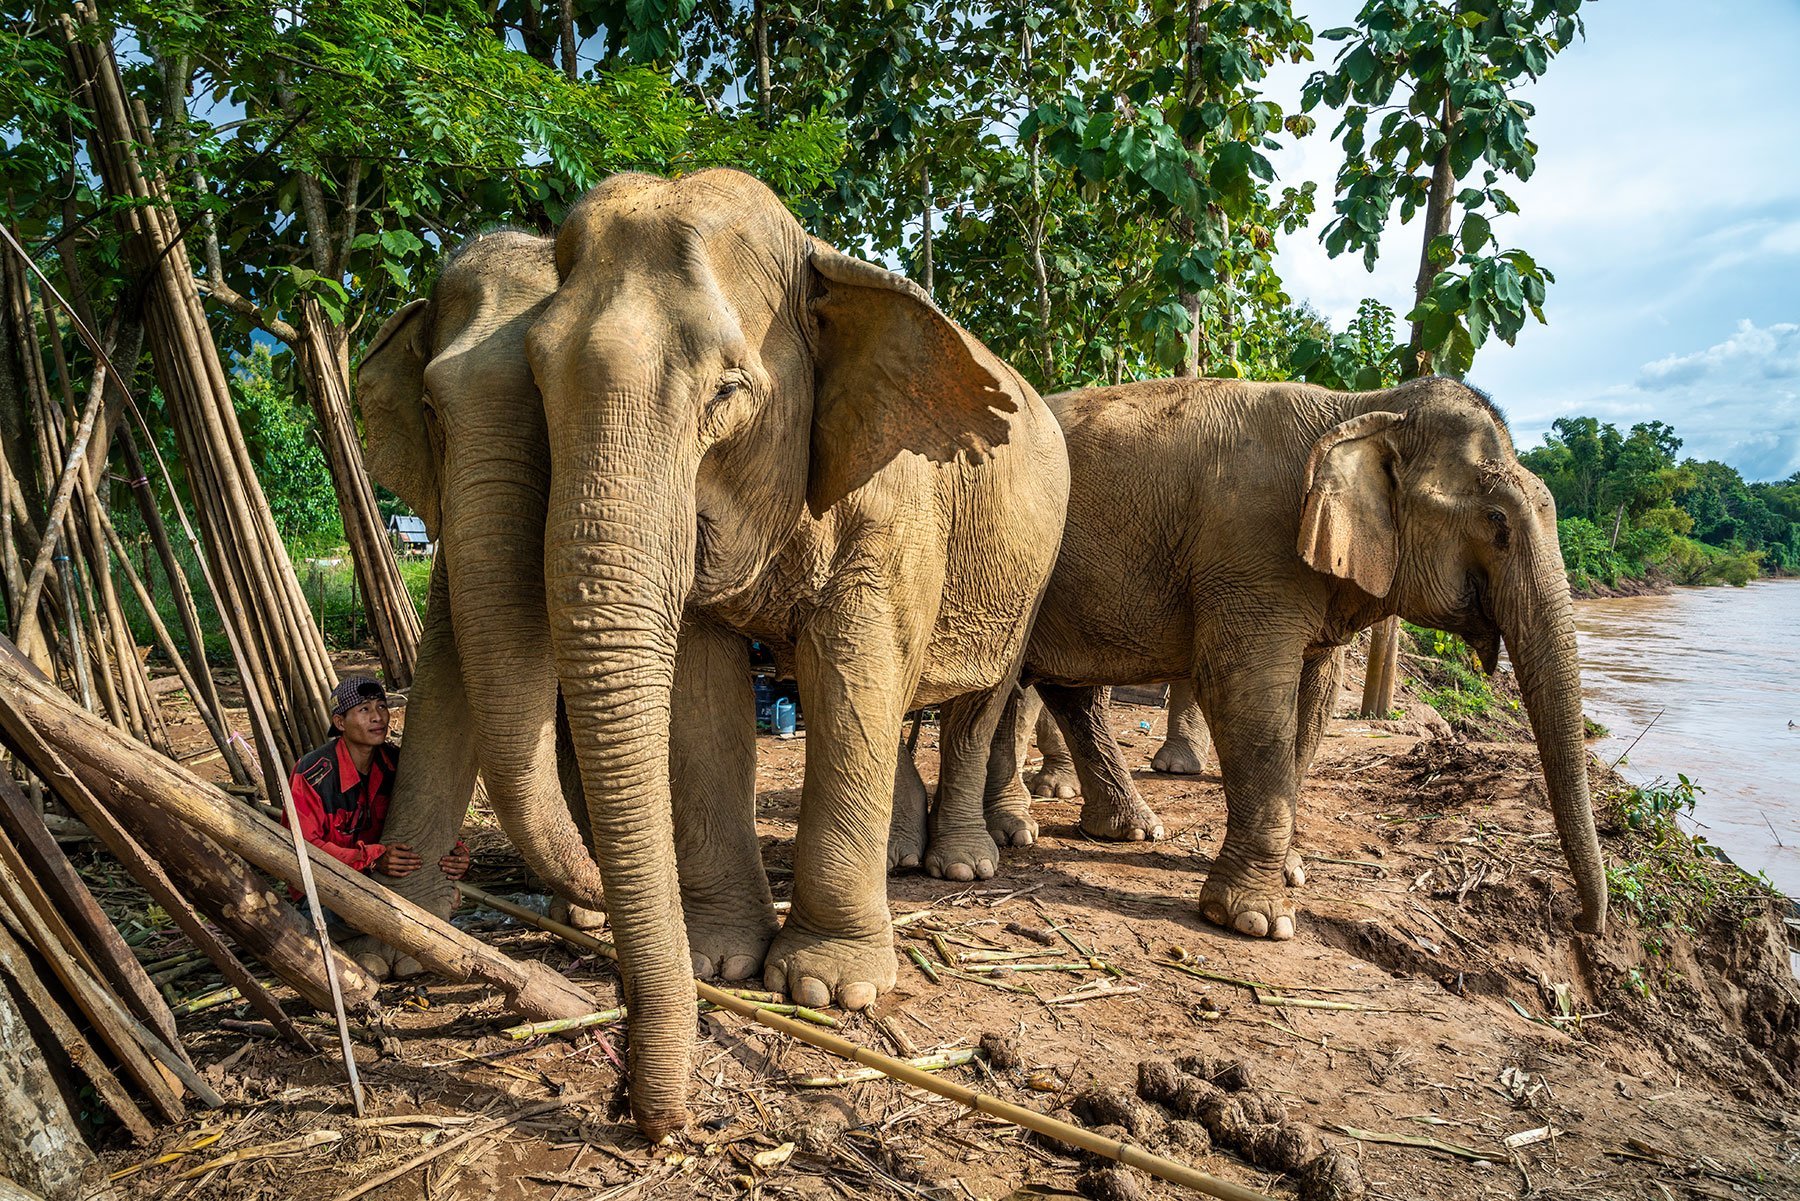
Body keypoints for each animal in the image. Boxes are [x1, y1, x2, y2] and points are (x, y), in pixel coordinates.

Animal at [514, 169, 1065, 1137]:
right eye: (537, 376)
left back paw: (958, 864)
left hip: (1029, 568)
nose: (650, 1117)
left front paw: (825, 989)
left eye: (726, 392)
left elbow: (854, 677)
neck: (821, 262)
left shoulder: (897, 500)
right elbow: (703, 698)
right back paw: (899, 858)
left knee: (978, 701)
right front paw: (720, 961)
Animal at [964, 379, 1612, 943]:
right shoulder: (1252, 554)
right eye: (1497, 523)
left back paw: (1130, 831)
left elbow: (1314, 698)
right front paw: (1256, 921)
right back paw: (1012, 834)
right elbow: (1246, 690)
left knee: (1065, 689)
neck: (1365, 406)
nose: (1581, 924)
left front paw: (1292, 873)